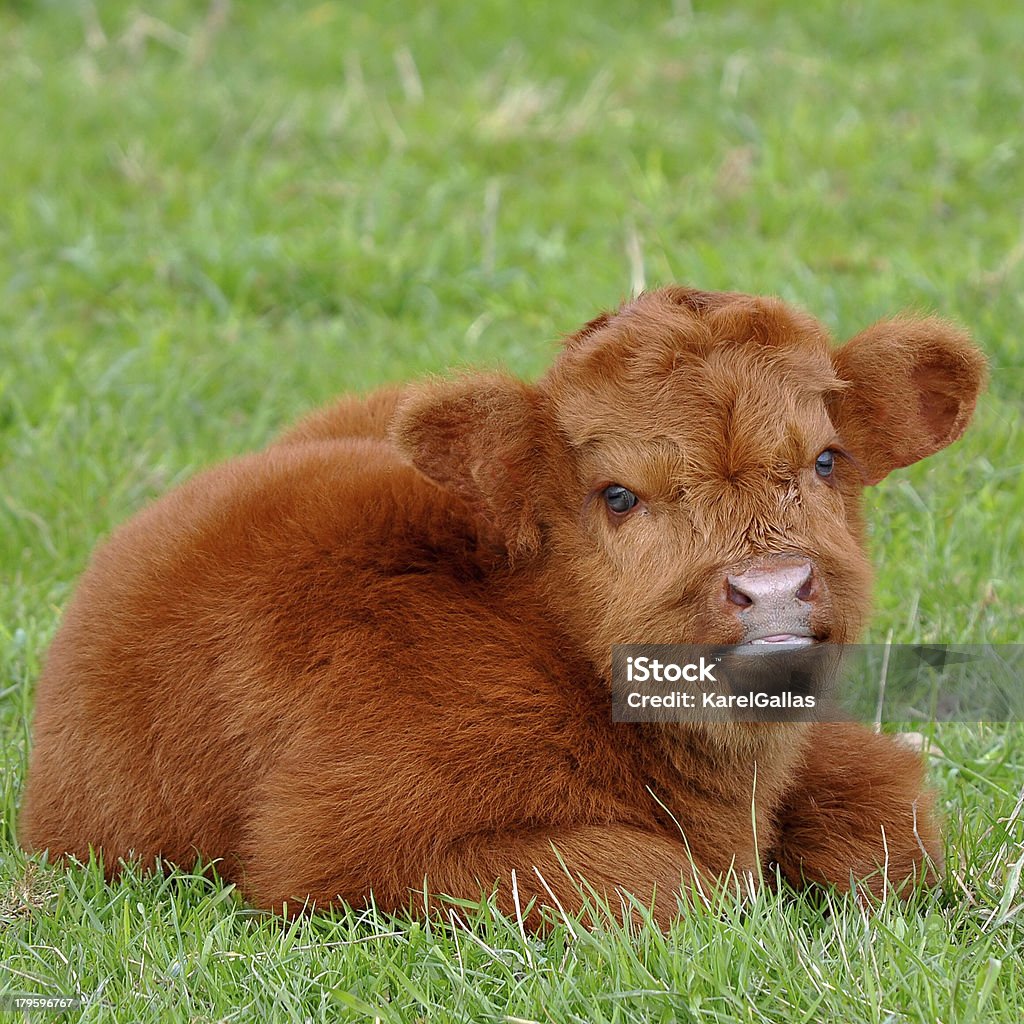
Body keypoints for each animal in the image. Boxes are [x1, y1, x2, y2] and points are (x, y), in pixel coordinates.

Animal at [19, 288, 987, 929]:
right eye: (618, 495)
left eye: (825, 460)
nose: (775, 586)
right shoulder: (347, 848)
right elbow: (661, 883)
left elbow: (892, 822)